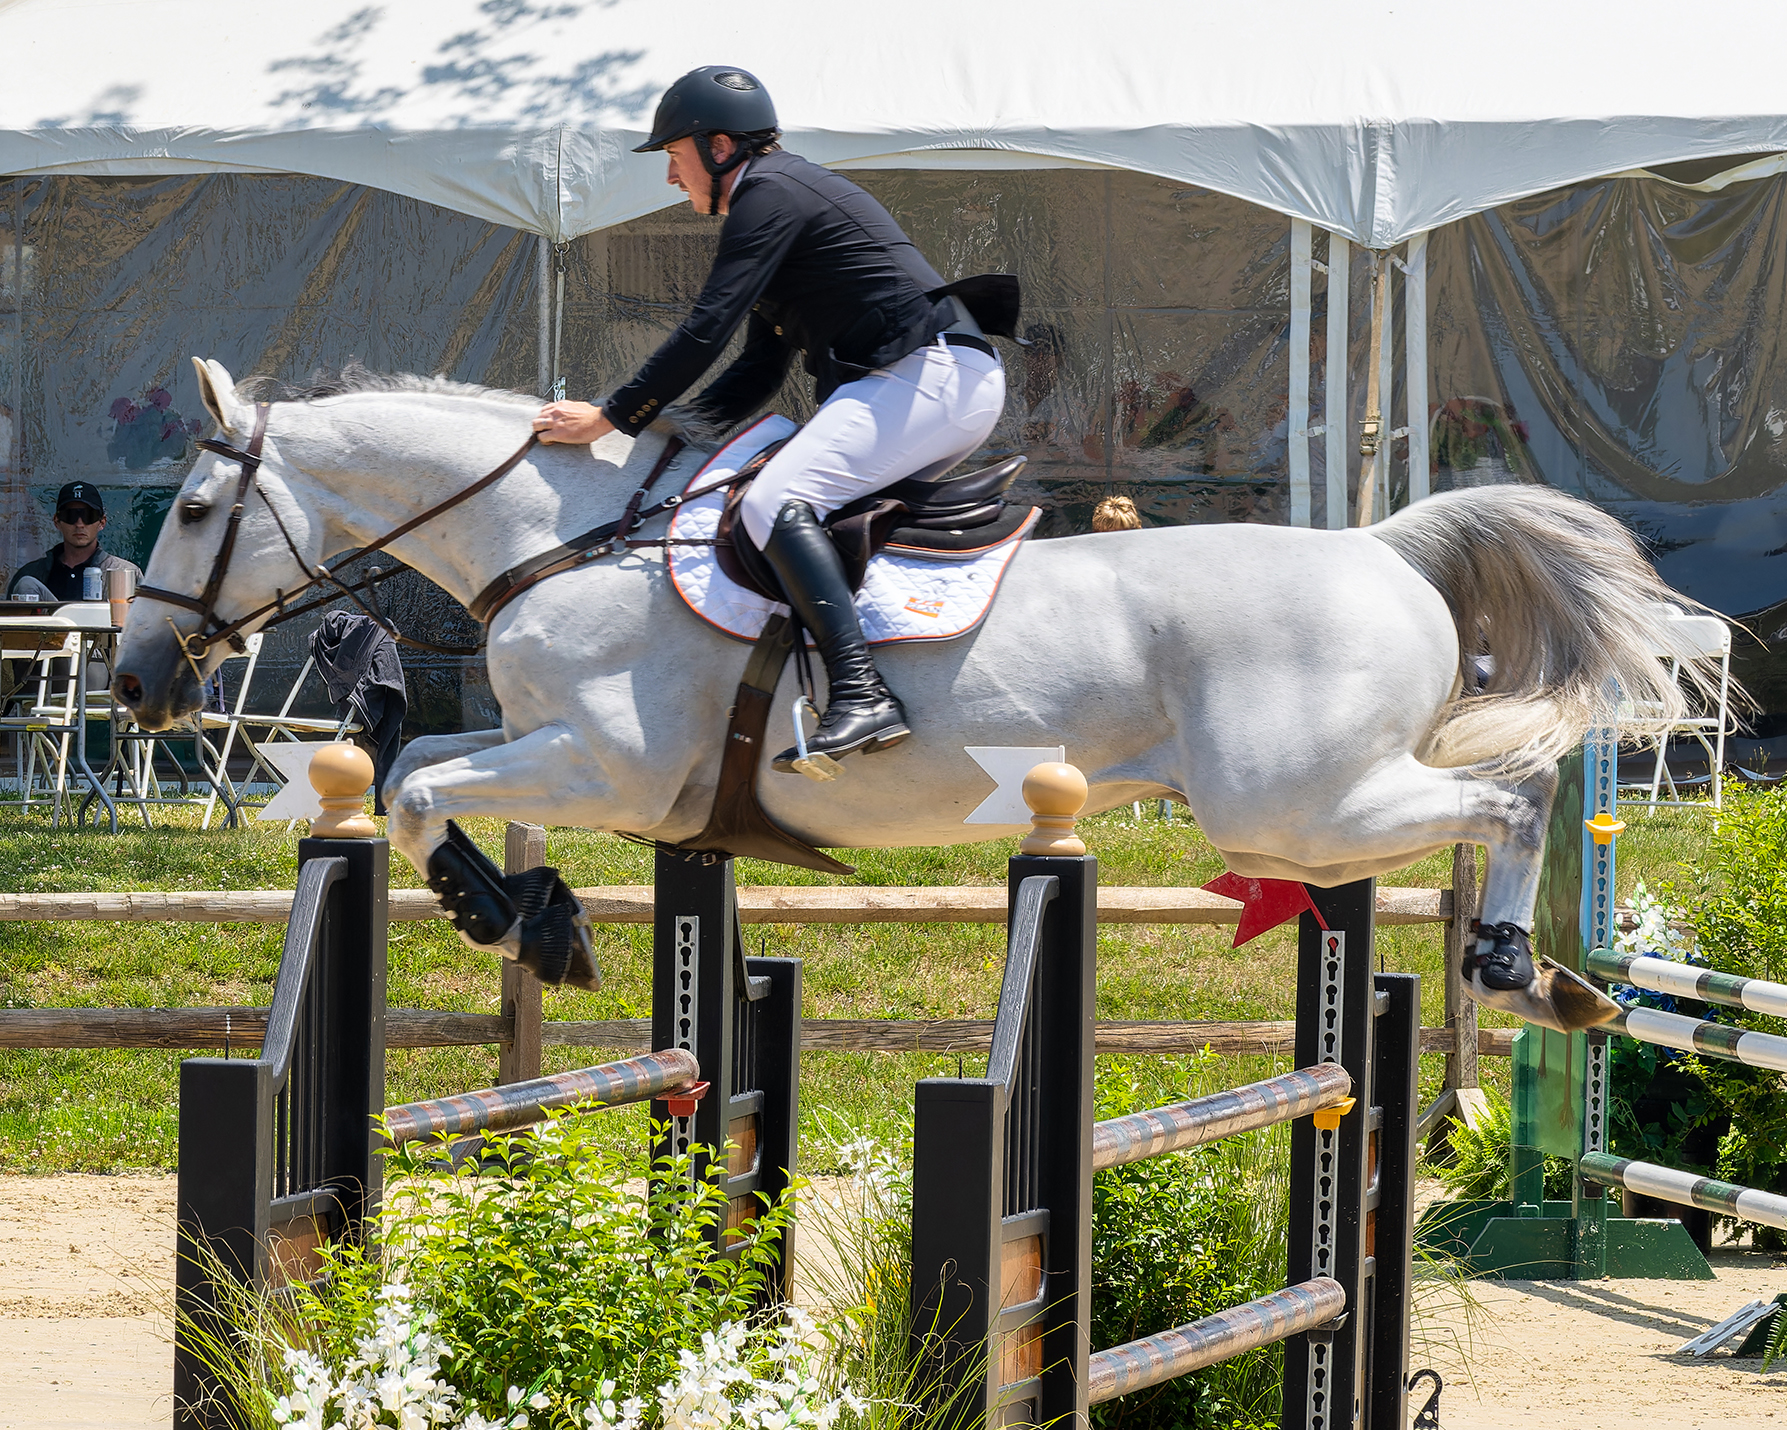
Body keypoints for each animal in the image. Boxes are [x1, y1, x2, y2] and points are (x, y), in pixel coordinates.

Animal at [115, 357, 1715, 1029]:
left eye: (190, 508)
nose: (135, 683)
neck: (564, 537)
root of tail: (1379, 544)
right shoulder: (557, 747)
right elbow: (412, 759)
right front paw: (536, 909)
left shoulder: (607, 763)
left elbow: (414, 781)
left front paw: (522, 921)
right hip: (1308, 814)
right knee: (1495, 798)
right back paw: (1551, 977)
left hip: (1295, 807)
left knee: (1505, 794)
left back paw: (1515, 965)